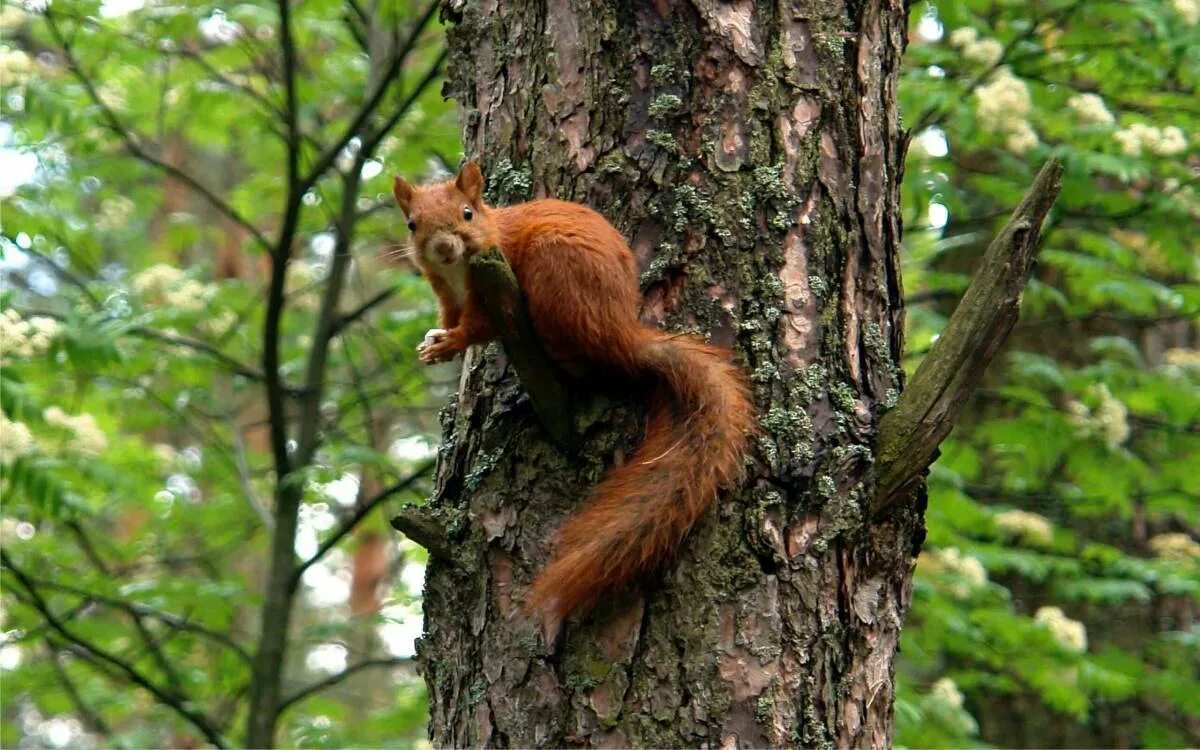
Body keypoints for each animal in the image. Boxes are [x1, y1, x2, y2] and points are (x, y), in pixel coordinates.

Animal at [391, 163, 748, 624]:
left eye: (468, 213)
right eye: (412, 224)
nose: (444, 247)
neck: (459, 269)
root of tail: (624, 335)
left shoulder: (489, 290)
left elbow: (476, 328)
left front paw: (448, 343)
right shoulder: (445, 291)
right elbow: (450, 319)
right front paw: (435, 344)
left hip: (555, 271)